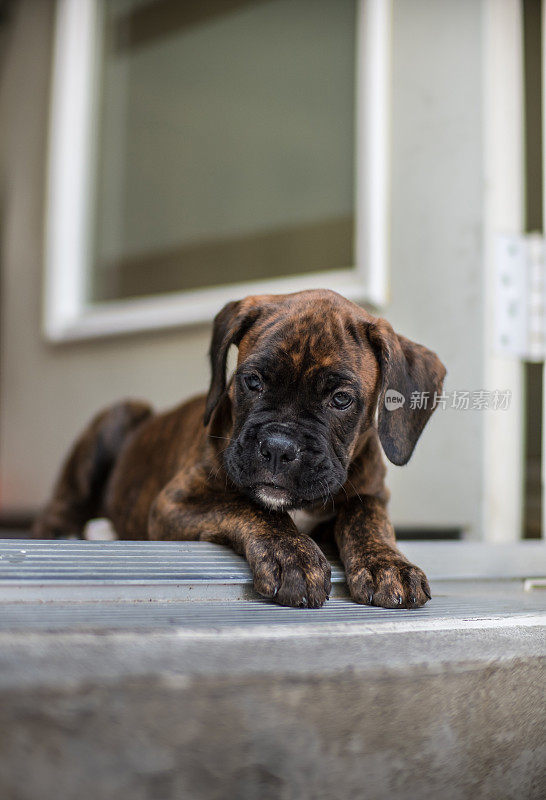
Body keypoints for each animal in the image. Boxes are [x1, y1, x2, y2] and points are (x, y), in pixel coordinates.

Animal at [33, 290, 442, 608]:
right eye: (252, 381)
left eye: (341, 399)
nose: (278, 448)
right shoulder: (175, 502)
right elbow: (250, 507)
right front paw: (292, 555)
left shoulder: (371, 493)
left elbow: (367, 520)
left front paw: (387, 565)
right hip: (119, 416)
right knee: (59, 509)